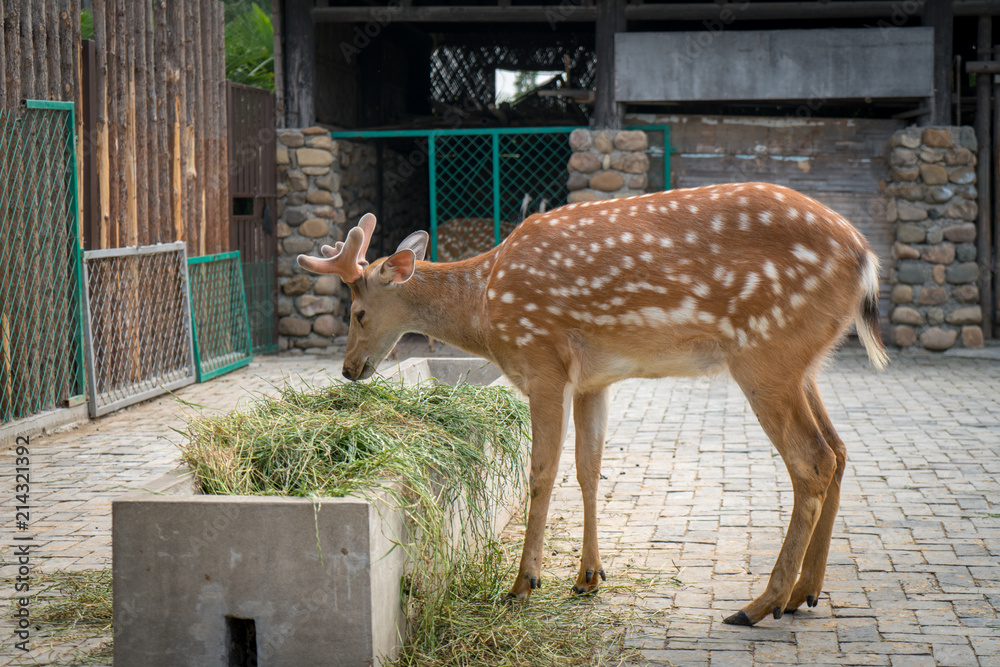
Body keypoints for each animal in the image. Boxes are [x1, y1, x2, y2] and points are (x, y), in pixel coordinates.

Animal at [298, 183, 892, 628]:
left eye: (357, 312)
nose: (349, 370)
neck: (486, 308)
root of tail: (866, 259)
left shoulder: (542, 360)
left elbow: (542, 471)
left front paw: (523, 584)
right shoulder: (593, 381)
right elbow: (589, 468)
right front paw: (588, 577)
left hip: (766, 351)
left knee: (811, 460)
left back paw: (759, 604)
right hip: (804, 362)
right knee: (838, 451)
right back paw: (804, 593)